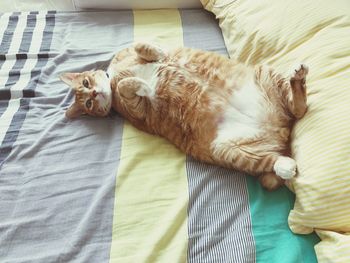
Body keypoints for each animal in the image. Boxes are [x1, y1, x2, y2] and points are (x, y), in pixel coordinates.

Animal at [60, 43, 308, 192]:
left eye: (86, 83)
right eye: (89, 103)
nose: (94, 94)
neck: (114, 74)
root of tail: (280, 129)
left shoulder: (139, 51)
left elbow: (143, 45)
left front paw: (151, 56)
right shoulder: (137, 110)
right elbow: (126, 86)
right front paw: (141, 85)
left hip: (264, 72)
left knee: (299, 109)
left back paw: (298, 78)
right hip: (227, 150)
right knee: (272, 156)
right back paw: (286, 165)